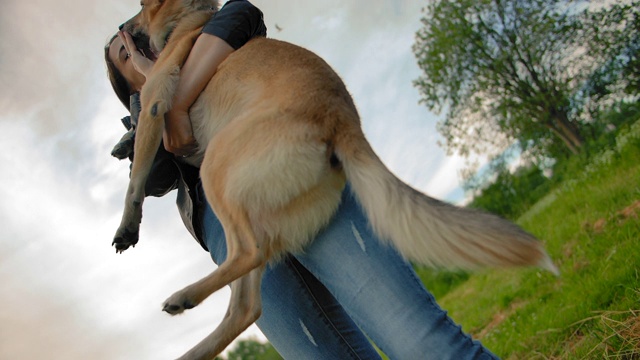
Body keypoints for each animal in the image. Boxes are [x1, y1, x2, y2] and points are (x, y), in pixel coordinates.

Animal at [116, 0, 560, 358]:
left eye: (139, 9)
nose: (121, 27)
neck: (185, 20)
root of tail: (340, 116)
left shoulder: (155, 101)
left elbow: (136, 179)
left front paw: (127, 226)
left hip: (218, 169)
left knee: (248, 255)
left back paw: (183, 296)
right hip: (263, 215)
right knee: (247, 305)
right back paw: (192, 345)